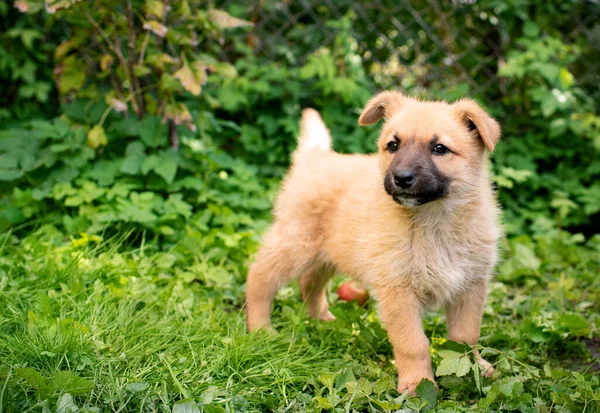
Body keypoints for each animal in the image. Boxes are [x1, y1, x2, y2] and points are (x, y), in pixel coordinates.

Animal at [245, 89, 502, 392]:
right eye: (393, 145)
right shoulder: (398, 292)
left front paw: (476, 368)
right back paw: (261, 328)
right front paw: (418, 384)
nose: (401, 178)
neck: (434, 222)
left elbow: (466, 337)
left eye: (439, 148)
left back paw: (322, 319)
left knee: (309, 282)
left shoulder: (470, 286)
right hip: (295, 244)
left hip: (328, 253)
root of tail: (316, 157)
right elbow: (413, 343)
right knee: (260, 276)